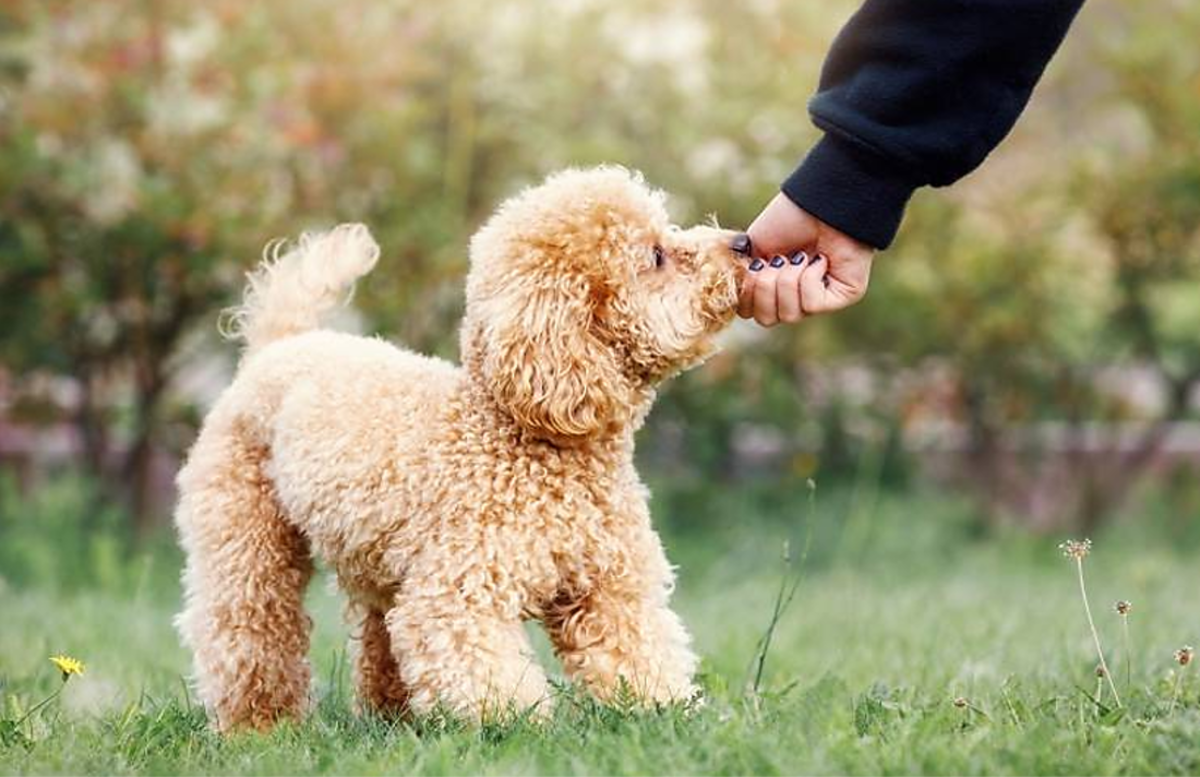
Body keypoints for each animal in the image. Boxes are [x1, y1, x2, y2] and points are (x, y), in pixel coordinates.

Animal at [174, 166, 748, 733]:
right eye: (656, 256)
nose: (742, 242)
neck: (515, 433)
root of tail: (276, 348)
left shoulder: (609, 584)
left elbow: (637, 651)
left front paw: (663, 712)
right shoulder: (461, 587)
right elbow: (480, 665)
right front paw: (509, 722)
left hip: (382, 565)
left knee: (380, 638)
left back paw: (391, 719)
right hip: (244, 537)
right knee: (250, 627)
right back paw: (259, 724)